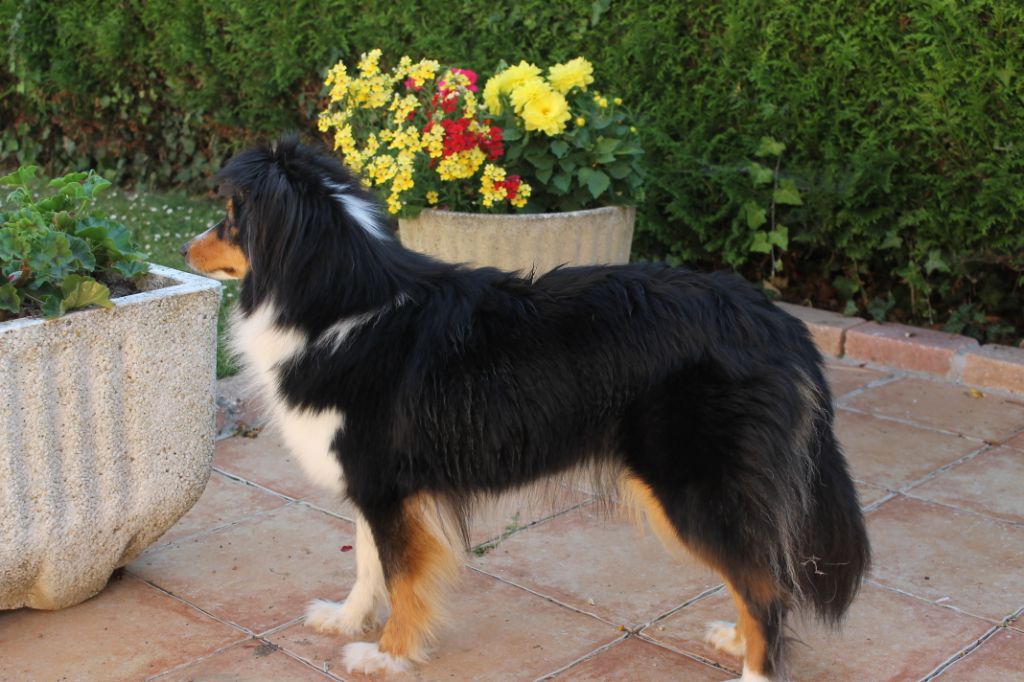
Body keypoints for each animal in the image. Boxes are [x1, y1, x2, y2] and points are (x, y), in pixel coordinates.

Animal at [182, 137, 869, 680]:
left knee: (766, 586)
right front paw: (348, 620)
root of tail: (775, 321)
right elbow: (370, 564)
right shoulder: (375, 484)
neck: (336, 304)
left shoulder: (389, 487)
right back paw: (734, 639)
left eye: (230, 218)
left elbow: (402, 577)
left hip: (695, 486)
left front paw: (387, 655)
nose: (185, 250)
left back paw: (755, 668)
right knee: (760, 577)